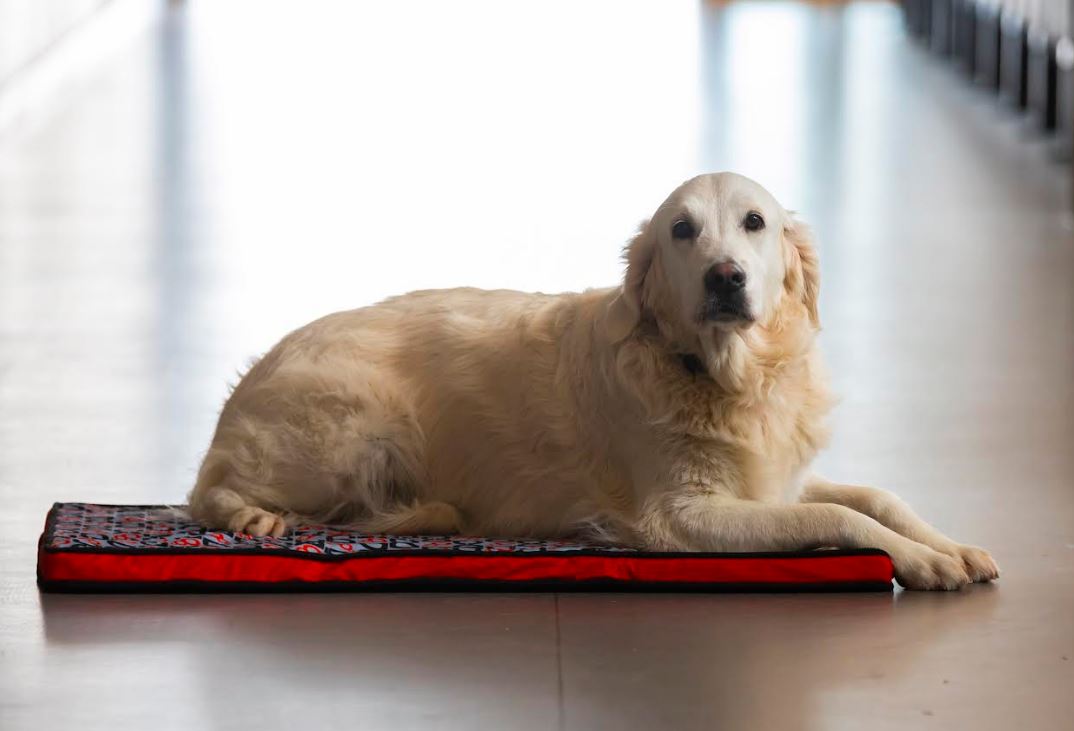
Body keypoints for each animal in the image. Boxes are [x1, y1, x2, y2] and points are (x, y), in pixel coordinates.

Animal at [188, 172, 998, 590]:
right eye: (681, 230)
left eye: (755, 223)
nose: (725, 277)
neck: (722, 374)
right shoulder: (682, 516)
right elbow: (835, 517)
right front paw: (921, 561)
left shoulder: (775, 479)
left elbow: (876, 497)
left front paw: (949, 546)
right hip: (360, 431)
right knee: (206, 492)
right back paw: (250, 516)